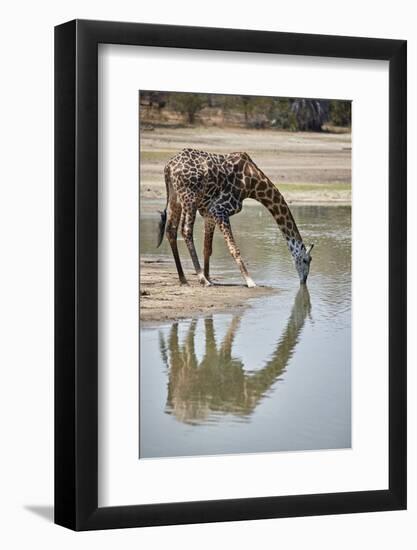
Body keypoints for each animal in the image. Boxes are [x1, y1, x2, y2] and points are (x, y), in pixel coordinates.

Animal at [158, 150, 314, 288]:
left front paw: (210, 277)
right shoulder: (220, 210)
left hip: (176, 198)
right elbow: (234, 249)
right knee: (186, 230)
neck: (253, 184)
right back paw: (202, 279)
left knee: (171, 230)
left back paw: (184, 279)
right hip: (189, 198)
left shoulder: (209, 214)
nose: (304, 281)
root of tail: (168, 167)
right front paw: (250, 282)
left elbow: (207, 248)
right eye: (306, 260)